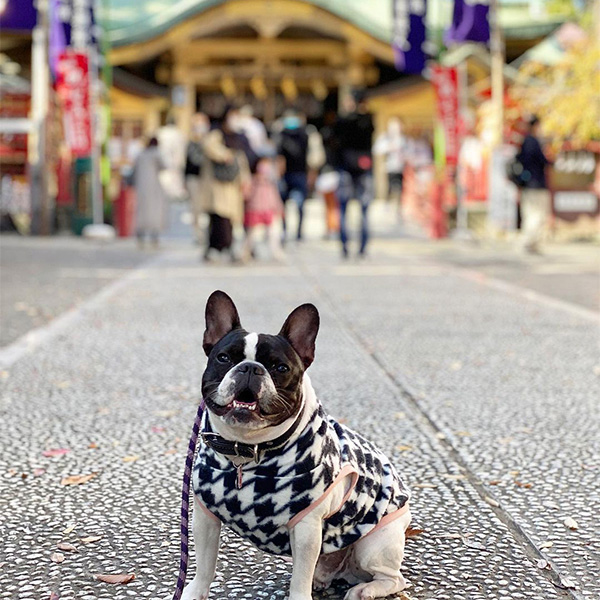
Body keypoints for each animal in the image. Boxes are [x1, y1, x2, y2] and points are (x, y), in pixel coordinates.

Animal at [182, 292, 408, 600]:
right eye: (224, 358)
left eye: (280, 368)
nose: (250, 368)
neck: (246, 451)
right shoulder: (205, 518)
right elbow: (204, 563)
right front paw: (194, 592)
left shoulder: (306, 529)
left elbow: (300, 576)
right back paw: (324, 578)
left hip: (374, 545)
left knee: (394, 578)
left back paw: (365, 590)